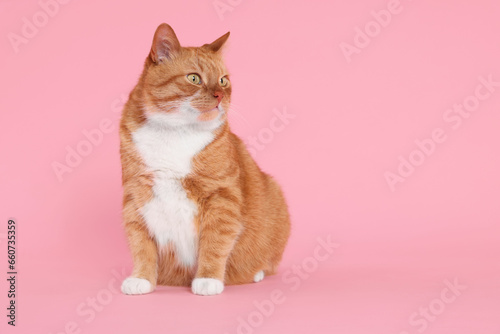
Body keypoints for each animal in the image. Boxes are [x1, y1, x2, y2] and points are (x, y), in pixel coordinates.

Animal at [120, 22, 290, 294]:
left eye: (223, 80)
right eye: (194, 78)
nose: (220, 95)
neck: (176, 132)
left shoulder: (222, 197)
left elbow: (215, 242)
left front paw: (209, 279)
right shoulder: (136, 197)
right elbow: (140, 244)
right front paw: (142, 279)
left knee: (268, 263)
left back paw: (256, 273)